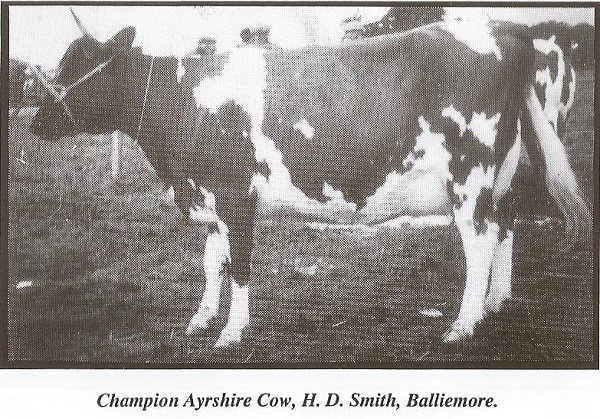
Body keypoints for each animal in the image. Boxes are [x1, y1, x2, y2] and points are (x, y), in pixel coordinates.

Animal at [29, 12, 592, 348]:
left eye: (77, 64)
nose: (36, 120)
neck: (184, 100)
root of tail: (509, 30)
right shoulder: (206, 194)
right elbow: (212, 263)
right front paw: (200, 319)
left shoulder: (235, 196)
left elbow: (239, 267)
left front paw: (232, 330)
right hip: (502, 174)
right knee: (503, 227)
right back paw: (495, 303)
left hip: (469, 176)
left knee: (479, 239)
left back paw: (463, 323)